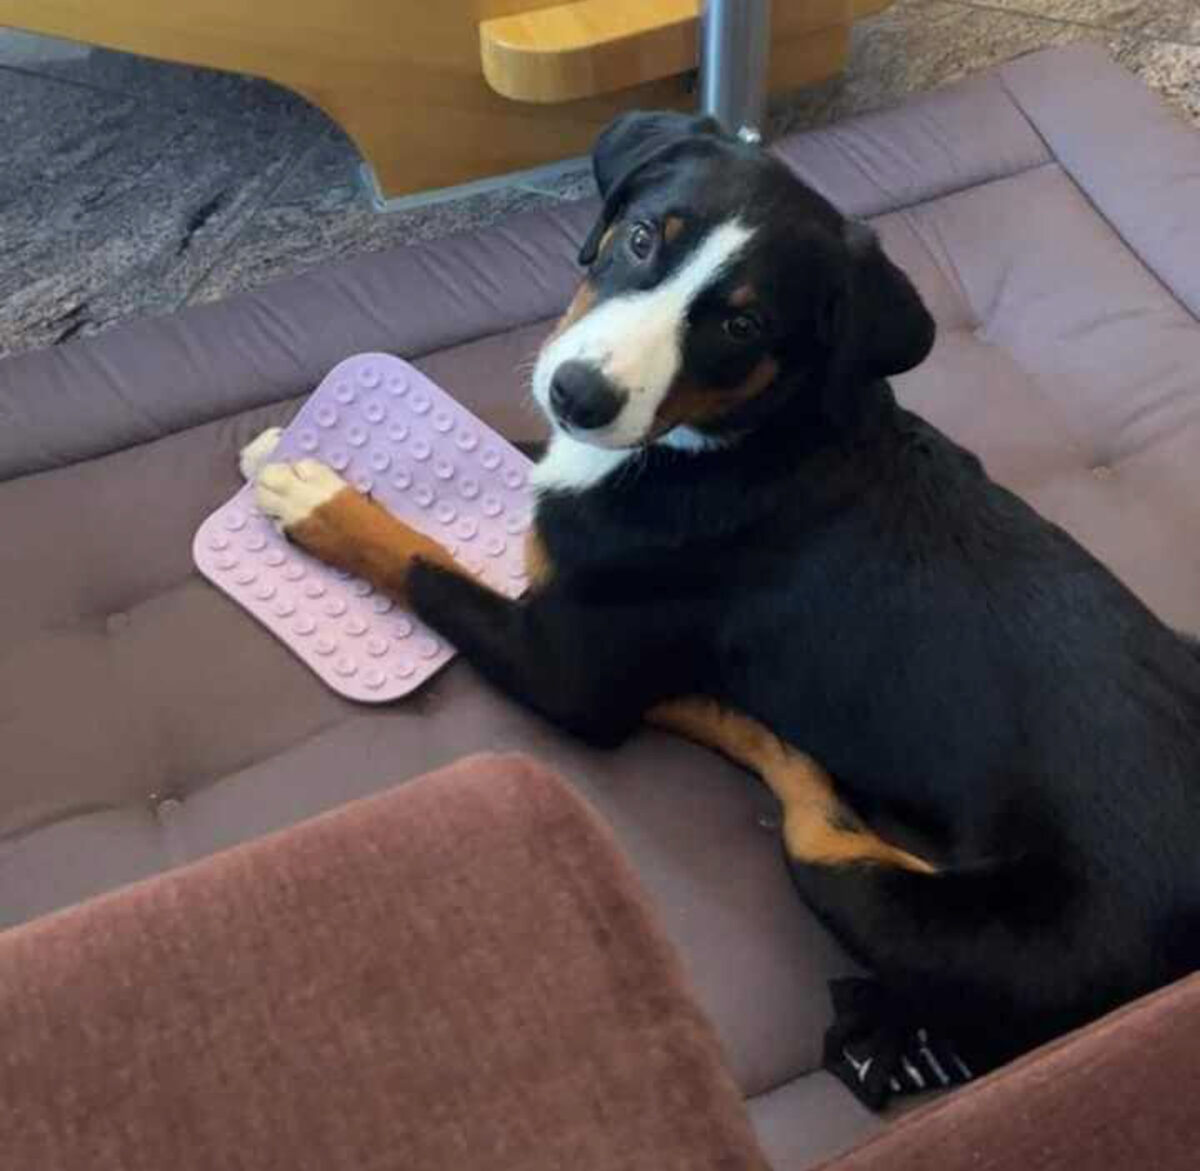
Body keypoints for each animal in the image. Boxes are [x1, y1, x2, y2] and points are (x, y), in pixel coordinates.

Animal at [249, 111, 1200, 1107]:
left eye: (743, 324)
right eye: (640, 239)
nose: (578, 393)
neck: (732, 442)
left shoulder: (564, 666)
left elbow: (425, 564)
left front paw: (315, 496)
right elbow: (507, 462)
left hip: (916, 903)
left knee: (815, 812)